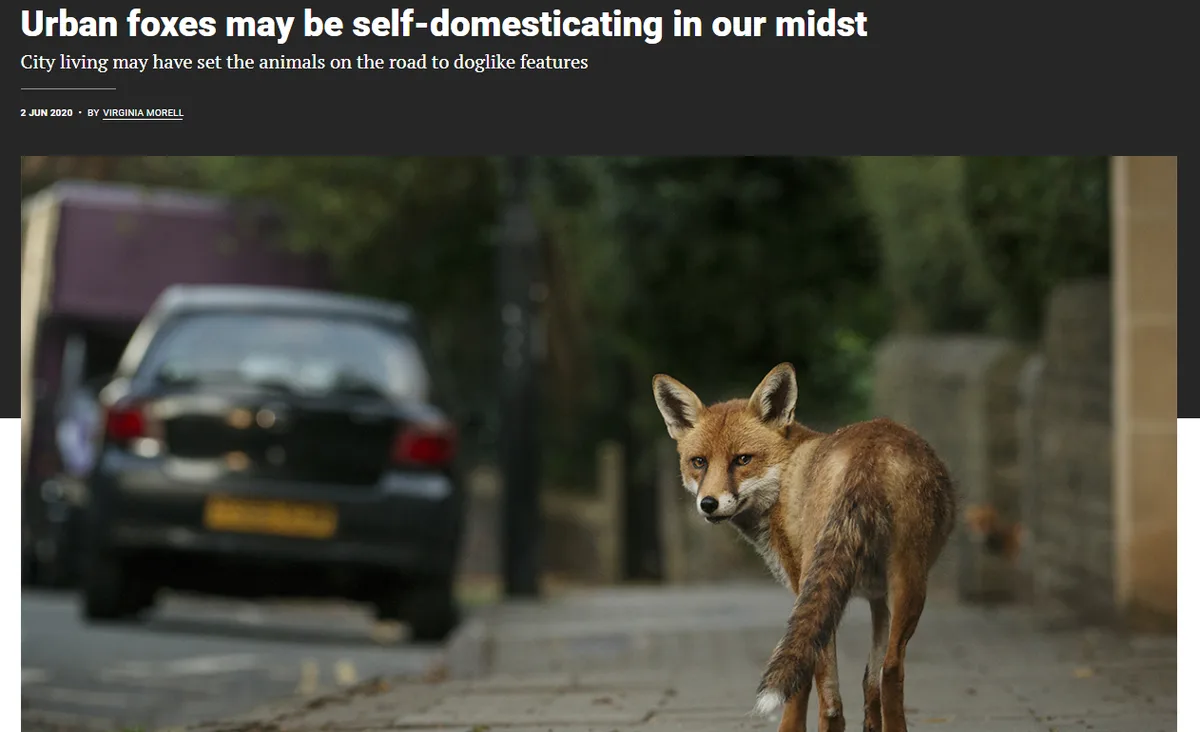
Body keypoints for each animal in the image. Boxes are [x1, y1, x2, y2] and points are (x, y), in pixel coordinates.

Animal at [652, 362, 956, 732]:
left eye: (742, 459)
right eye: (699, 462)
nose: (708, 504)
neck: (785, 479)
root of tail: (869, 450)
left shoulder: (801, 587)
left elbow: (802, 688)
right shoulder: (877, 598)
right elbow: (869, 683)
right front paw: (871, 725)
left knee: (835, 701)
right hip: (899, 582)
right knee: (888, 669)